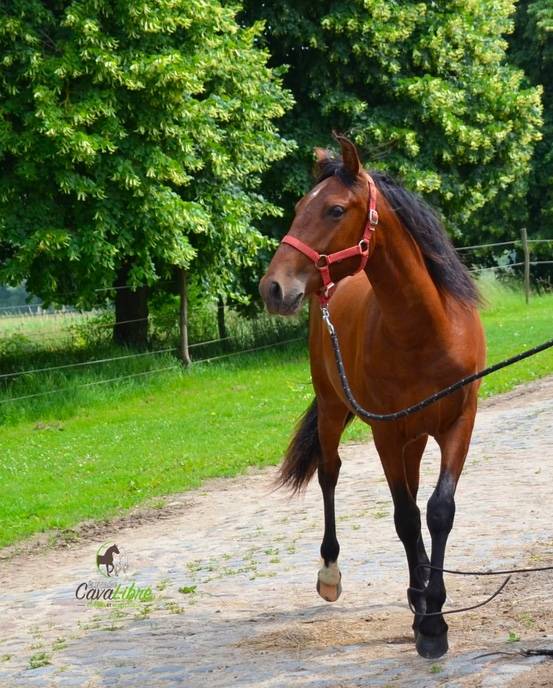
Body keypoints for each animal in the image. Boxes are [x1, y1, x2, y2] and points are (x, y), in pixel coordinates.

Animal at [259, 135, 485, 659]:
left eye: (335, 209)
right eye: (299, 207)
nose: (273, 288)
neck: (427, 330)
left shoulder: (458, 423)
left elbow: (438, 511)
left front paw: (432, 614)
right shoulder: (386, 432)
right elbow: (405, 517)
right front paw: (429, 623)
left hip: (415, 437)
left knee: (416, 497)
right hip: (334, 408)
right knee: (330, 473)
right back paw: (331, 573)